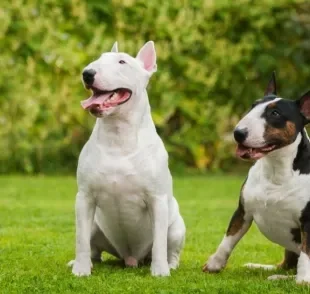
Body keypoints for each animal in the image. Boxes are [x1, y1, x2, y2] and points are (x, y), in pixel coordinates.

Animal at [67, 40, 184, 276]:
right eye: (97, 59)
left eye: (122, 62)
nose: (87, 73)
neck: (118, 135)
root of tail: (130, 258)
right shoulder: (84, 197)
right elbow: (80, 239)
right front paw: (81, 270)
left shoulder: (157, 199)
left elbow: (159, 242)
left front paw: (160, 271)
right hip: (96, 225)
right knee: (93, 247)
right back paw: (85, 262)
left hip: (177, 227)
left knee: (170, 248)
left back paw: (170, 265)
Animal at [202, 72, 310, 284]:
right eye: (253, 106)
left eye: (275, 114)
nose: (237, 133)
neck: (275, 169)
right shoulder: (243, 210)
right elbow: (228, 239)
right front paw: (214, 264)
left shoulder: (309, 221)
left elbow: (306, 252)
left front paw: (303, 281)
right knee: (286, 264)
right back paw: (262, 268)